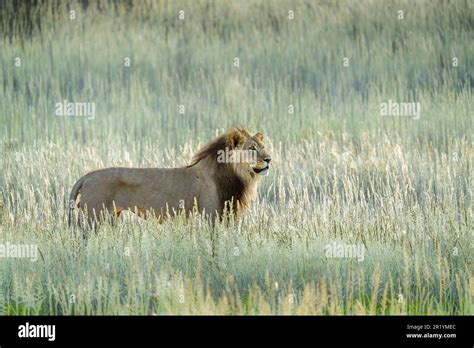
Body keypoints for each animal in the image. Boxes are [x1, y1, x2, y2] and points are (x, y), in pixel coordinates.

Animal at [68, 126, 272, 227]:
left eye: (263, 147)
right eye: (252, 149)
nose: (269, 159)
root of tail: (87, 176)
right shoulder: (210, 215)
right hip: (94, 217)